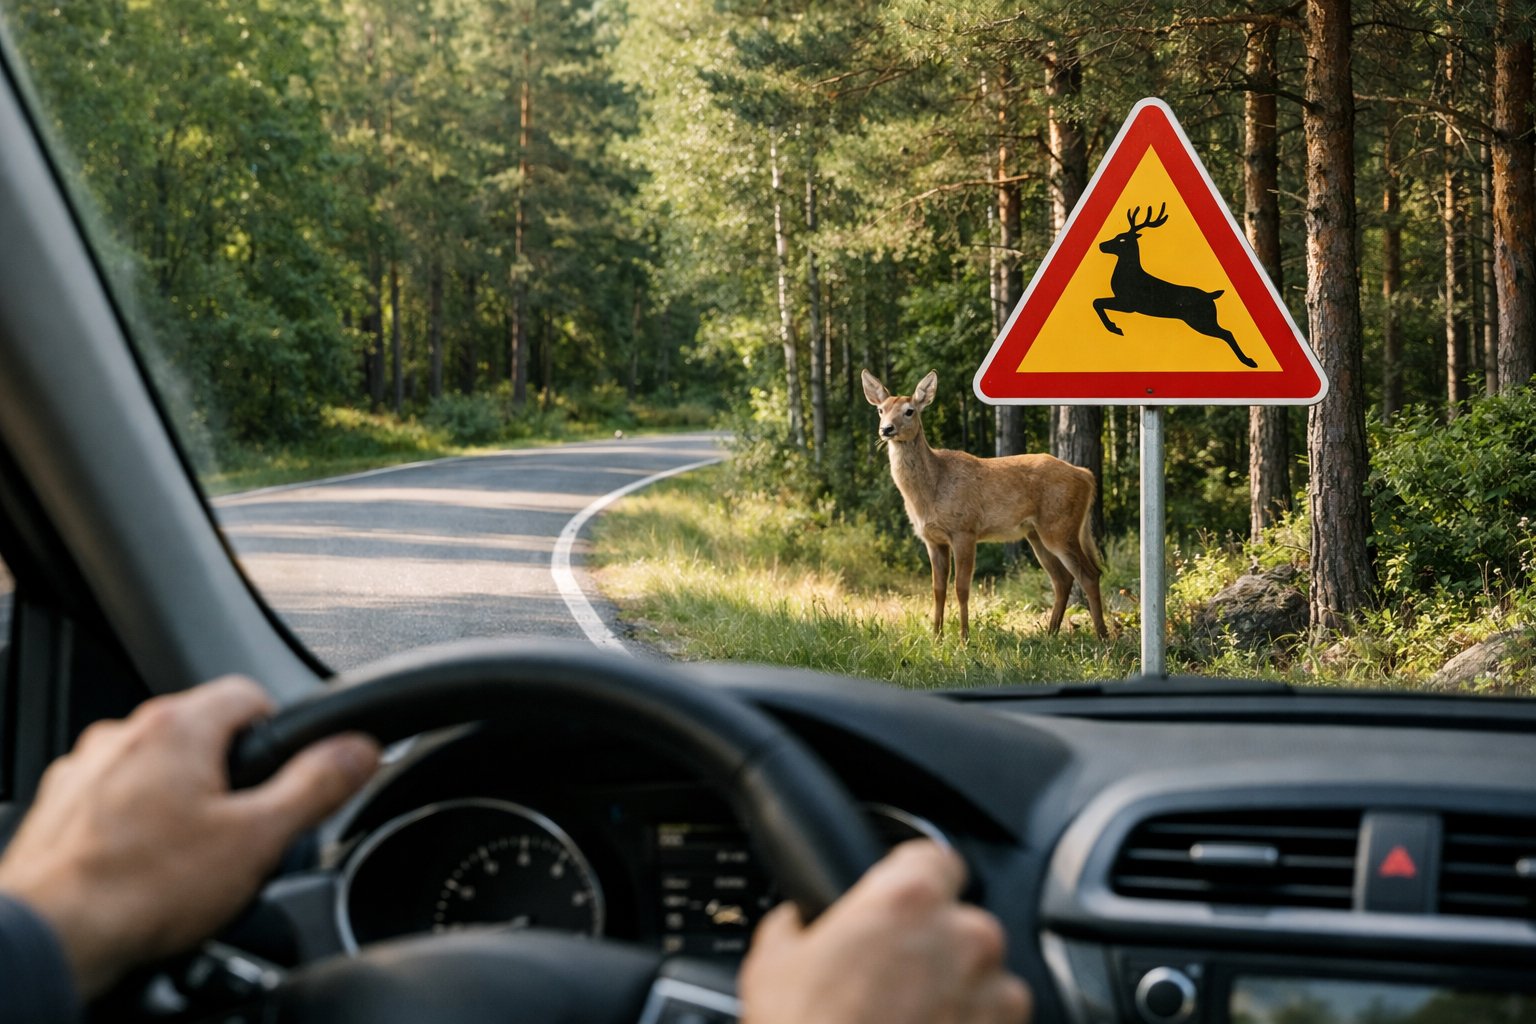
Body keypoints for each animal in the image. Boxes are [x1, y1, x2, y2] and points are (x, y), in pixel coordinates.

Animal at [862, 369, 1108, 643]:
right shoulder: (933, 539)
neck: (931, 489)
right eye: (881, 409)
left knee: (1089, 574)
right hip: (1037, 533)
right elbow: (937, 589)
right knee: (1063, 579)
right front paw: (936, 637)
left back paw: (1102, 637)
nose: (886, 429)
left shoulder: (965, 530)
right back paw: (1050, 633)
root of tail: (1086, 476)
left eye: (909, 411)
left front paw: (964, 639)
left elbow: (961, 588)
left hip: (1061, 527)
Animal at [1093, 203, 1259, 369]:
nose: (1101, 245)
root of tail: (1211, 295)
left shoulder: (1129, 303)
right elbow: (1097, 302)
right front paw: (1114, 326)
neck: (1128, 275)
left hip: (1202, 320)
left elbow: (1097, 302)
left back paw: (1249, 361)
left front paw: (1114, 327)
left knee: (1227, 333)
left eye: (1122, 239)